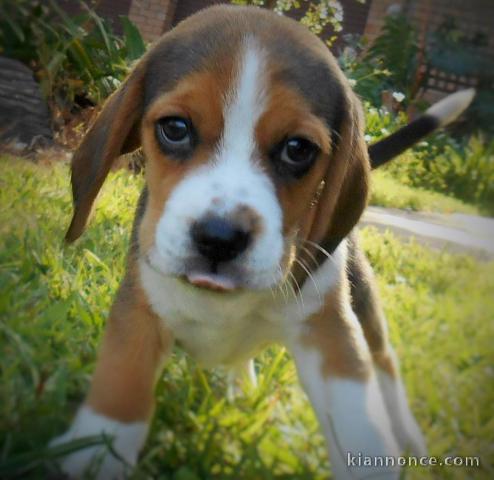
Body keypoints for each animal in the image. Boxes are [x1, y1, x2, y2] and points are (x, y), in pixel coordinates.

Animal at [51, 5, 474, 478]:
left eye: (298, 149)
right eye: (174, 128)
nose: (219, 238)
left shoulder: (328, 328)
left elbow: (358, 413)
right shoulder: (140, 309)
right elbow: (122, 380)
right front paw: (94, 450)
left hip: (364, 302)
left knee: (384, 361)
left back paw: (409, 435)